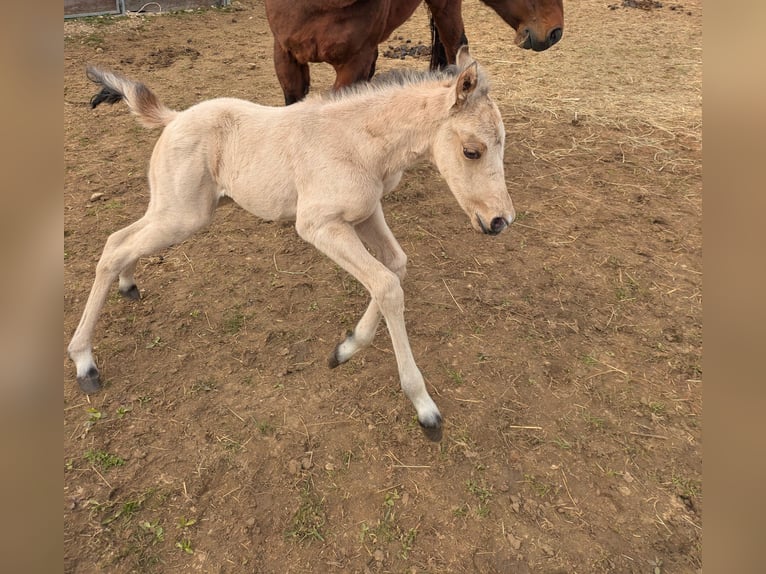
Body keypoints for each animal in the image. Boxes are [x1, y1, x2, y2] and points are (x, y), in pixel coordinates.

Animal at [67, 47, 515, 442]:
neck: (360, 144)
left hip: (175, 210)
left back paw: (127, 286)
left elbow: (395, 267)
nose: (500, 221)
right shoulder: (318, 225)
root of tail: (173, 118)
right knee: (113, 250)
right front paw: (424, 407)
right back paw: (84, 362)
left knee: (120, 240)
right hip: (181, 216)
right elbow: (387, 285)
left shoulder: (366, 212)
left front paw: (345, 349)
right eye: (472, 151)